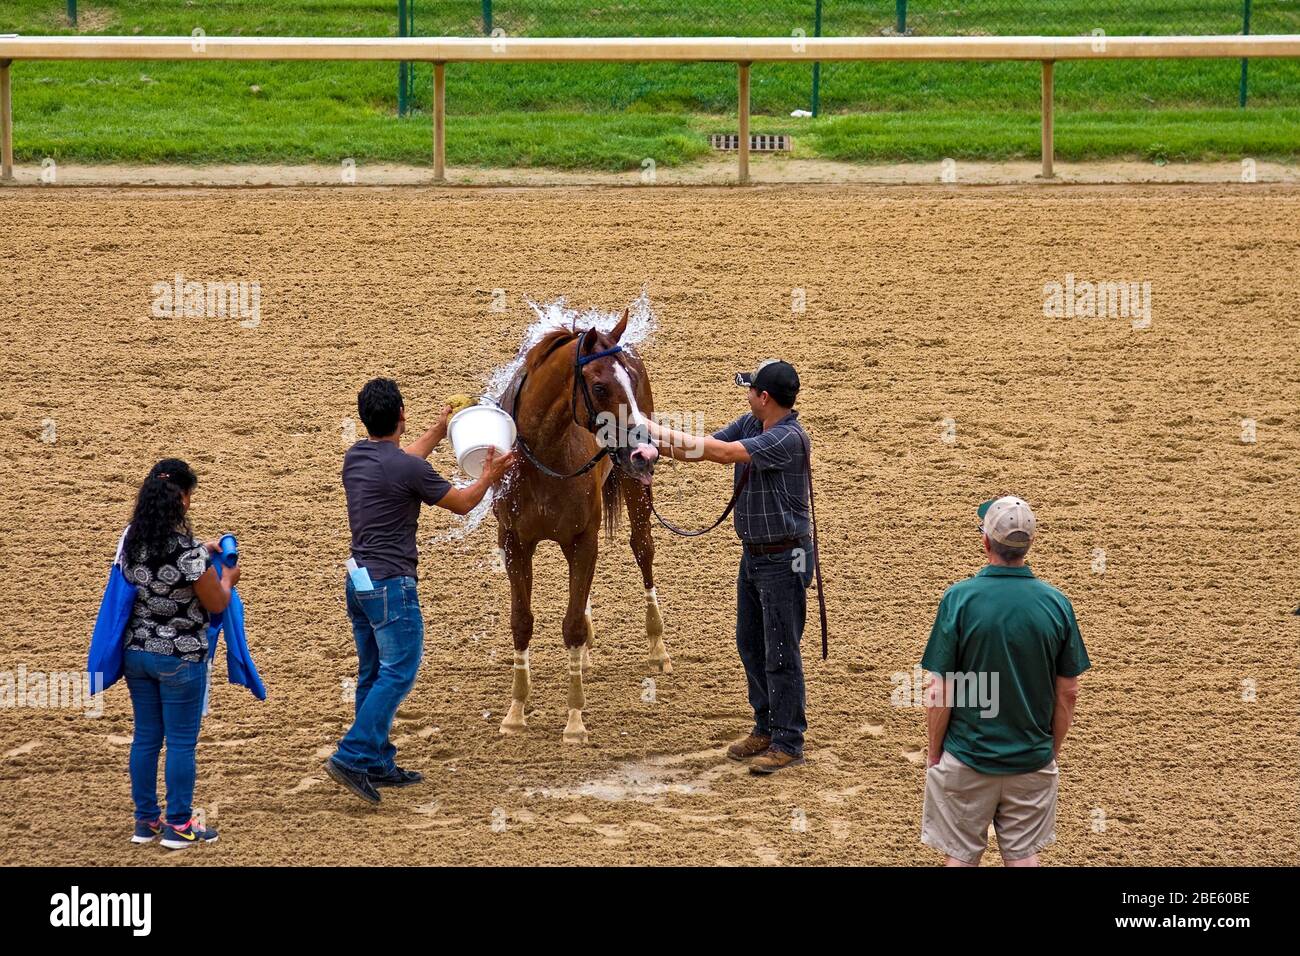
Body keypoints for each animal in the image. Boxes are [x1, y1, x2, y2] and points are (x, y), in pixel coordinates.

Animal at [494, 309, 668, 744]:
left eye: (629, 379)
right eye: (601, 386)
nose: (646, 450)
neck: (545, 456)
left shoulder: (583, 540)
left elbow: (570, 625)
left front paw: (574, 721)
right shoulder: (514, 542)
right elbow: (522, 622)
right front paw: (516, 712)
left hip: (636, 490)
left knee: (643, 549)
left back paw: (657, 647)